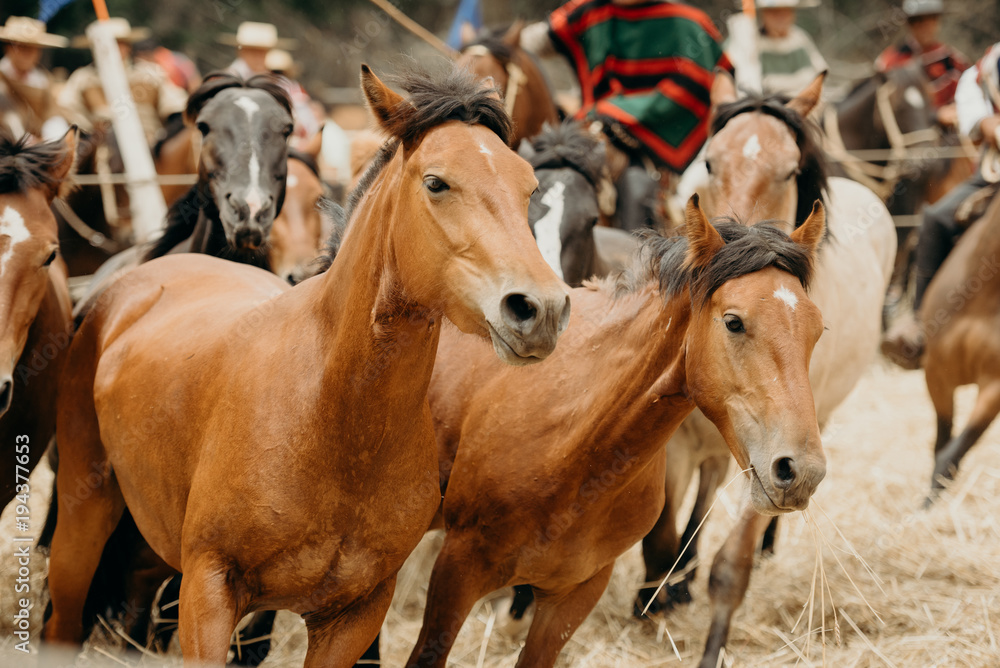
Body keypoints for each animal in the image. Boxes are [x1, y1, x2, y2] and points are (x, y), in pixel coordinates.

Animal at [41, 65, 569, 667]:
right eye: (437, 183)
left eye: (529, 188)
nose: (540, 308)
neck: (331, 419)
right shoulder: (209, 589)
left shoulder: (354, 614)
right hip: (82, 518)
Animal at [405, 195, 828, 668]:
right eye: (734, 322)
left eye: (817, 330)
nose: (801, 472)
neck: (581, 448)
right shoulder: (457, 570)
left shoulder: (573, 596)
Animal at [636, 73, 897, 667]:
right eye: (710, 162)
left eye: (788, 170)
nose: (730, 249)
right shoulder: (676, 442)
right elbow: (658, 539)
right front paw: (654, 603)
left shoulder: (777, 457)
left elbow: (732, 567)